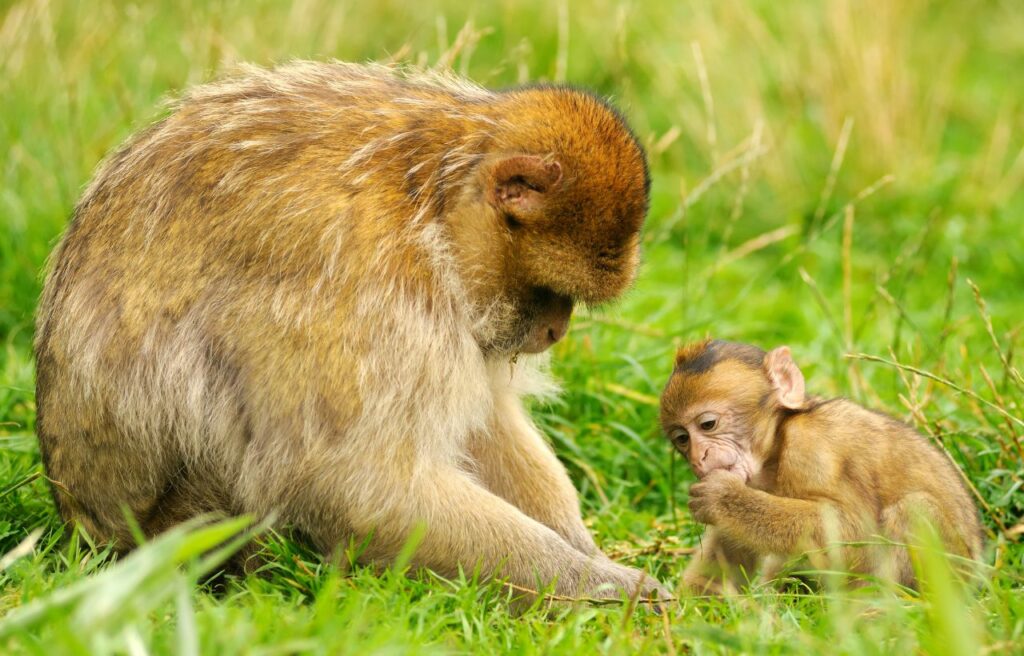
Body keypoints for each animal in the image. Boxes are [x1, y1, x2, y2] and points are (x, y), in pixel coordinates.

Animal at [34, 61, 669, 603]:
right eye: (548, 291)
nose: (556, 328)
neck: (428, 200)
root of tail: (82, 526)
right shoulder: (368, 288)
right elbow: (356, 486)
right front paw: (594, 585)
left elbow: (483, 420)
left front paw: (592, 556)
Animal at [659, 339, 983, 592]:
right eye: (682, 439)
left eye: (708, 424)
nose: (699, 457)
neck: (776, 445)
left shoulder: (812, 450)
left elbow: (854, 529)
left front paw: (723, 498)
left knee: (913, 508)